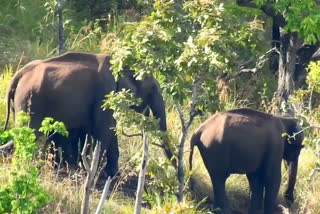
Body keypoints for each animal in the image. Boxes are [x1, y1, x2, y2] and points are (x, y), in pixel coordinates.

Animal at [0, 51, 172, 177]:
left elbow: (108, 130)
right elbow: (104, 130)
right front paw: (95, 174)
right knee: (30, 134)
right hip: (31, 100)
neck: (120, 62)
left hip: (21, 103)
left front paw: (112, 175)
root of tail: (18, 75)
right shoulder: (106, 92)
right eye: (152, 90)